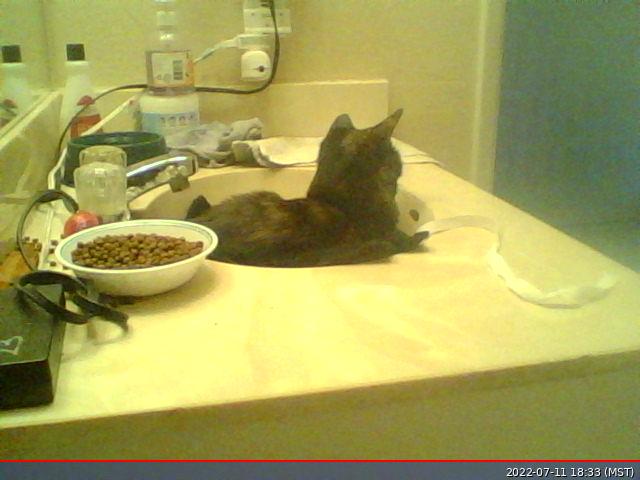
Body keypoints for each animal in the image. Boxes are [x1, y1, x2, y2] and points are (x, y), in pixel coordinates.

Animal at [185, 109, 429, 267]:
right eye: (396, 159)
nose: (401, 167)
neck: (337, 201)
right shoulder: (389, 239)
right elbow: (408, 240)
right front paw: (419, 236)